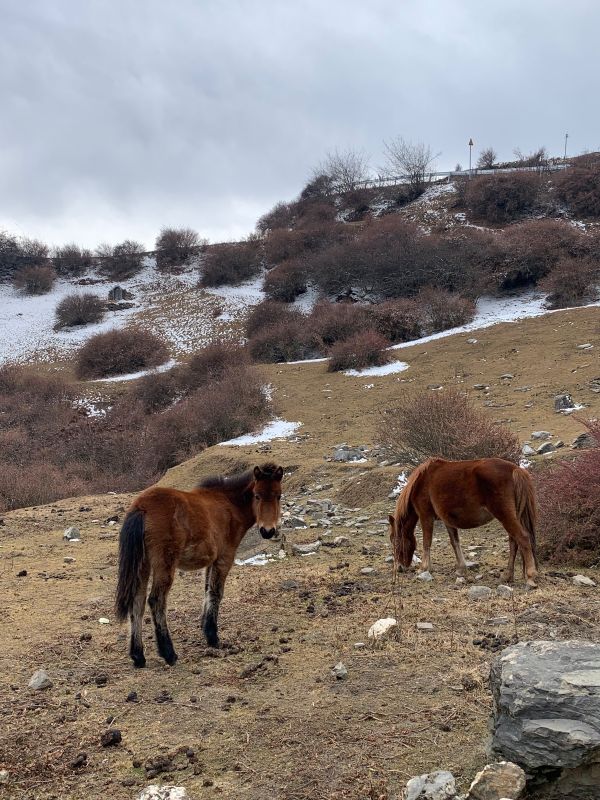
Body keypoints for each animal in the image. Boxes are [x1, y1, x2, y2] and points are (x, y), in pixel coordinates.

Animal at [115, 462, 283, 667]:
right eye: (257, 495)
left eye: (278, 495)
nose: (268, 531)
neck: (229, 505)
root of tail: (142, 507)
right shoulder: (224, 558)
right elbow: (216, 592)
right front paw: (213, 637)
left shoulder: (210, 562)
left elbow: (207, 590)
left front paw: (205, 628)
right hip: (164, 564)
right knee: (156, 600)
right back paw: (169, 653)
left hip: (143, 565)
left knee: (137, 602)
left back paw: (138, 656)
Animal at [388, 457, 539, 587]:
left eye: (395, 541)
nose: (400, 567)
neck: (421, 482)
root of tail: (515, 469)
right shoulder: (448, 521)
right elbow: (455, 543)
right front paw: (461, 569)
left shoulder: (426, 517)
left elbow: (427, 542)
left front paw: (423, 568)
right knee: (514, 542)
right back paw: (507, 575)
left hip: (505, 515)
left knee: (523, 538)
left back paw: (530, 577)